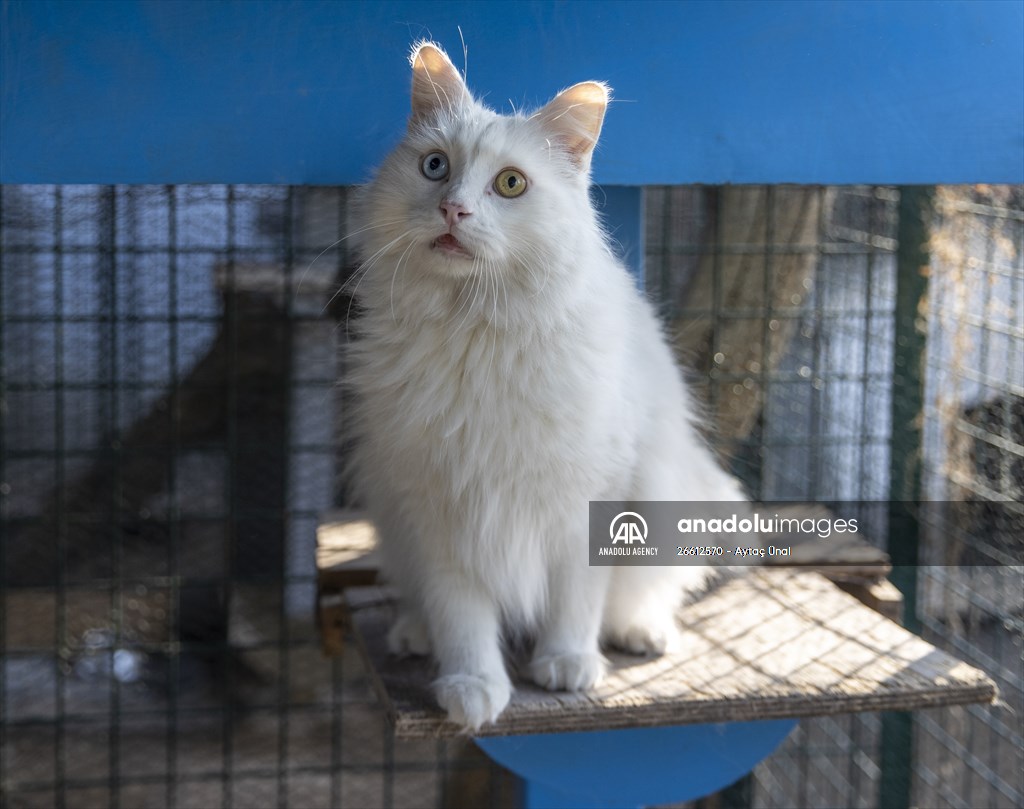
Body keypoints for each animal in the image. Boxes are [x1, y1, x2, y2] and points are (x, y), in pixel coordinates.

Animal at [348, 41, 749, 733]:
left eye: (511, 184)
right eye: (434, 166)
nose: (454, 209)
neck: (475, 335)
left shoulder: (593, 498)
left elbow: (576, 600)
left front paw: (566, 665)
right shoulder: (439, 508)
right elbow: (462, 615)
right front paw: (473, 687)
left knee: (639, 596)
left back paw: (641, 633)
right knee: (422, 601)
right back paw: (414, 635)